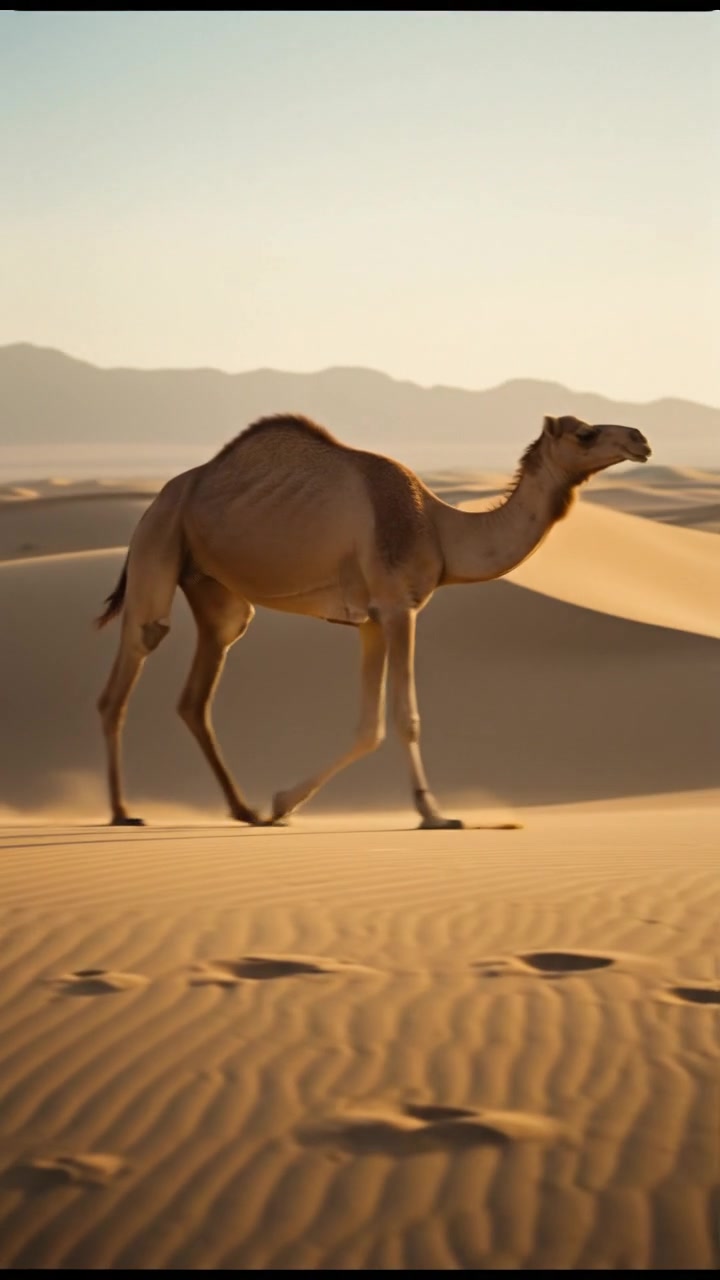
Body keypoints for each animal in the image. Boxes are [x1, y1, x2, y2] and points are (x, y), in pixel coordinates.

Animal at [96, 412, 651, 829]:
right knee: (125, 675)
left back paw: (243, 809)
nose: (640, 439)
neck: (440, 530)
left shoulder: (370, 619)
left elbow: (369, 727)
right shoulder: (399, 606)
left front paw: (281, 803)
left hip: (216, 591)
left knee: (197, 693)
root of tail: (161, 496)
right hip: (158, 543)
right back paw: (123, 811)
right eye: (586, 433)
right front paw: (435, 814)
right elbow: (405, 718)